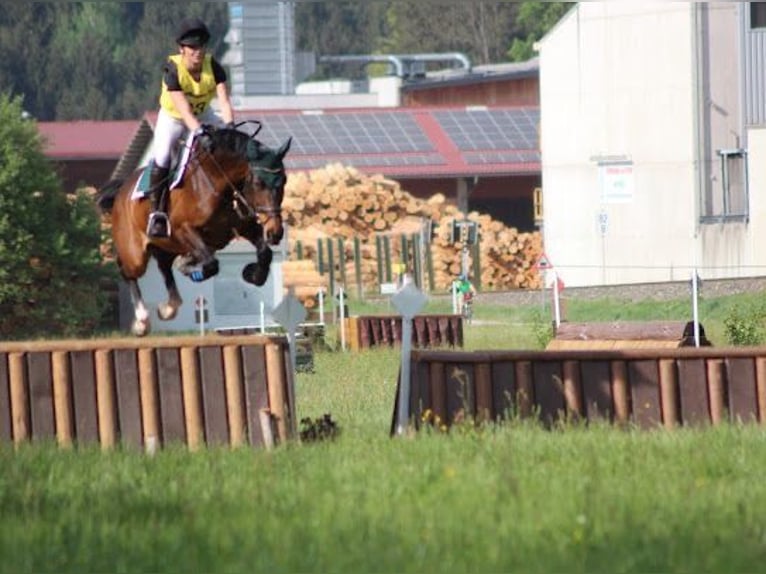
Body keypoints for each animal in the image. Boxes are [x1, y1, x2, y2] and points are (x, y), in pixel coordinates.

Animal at [97, 122, 292, 338]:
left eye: (284, 181)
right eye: (258, 183)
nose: (275, 232)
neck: (218, 182)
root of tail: (122, 189)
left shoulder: (244, 226)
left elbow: (265, 253)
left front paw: (253, 275)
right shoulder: (183, 229)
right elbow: (211, 264)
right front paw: (190, 269)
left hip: (166, 245)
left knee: (164, 266)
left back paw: (169, 307)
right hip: (136, 252)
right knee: (127, 270)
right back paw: (141, 321)